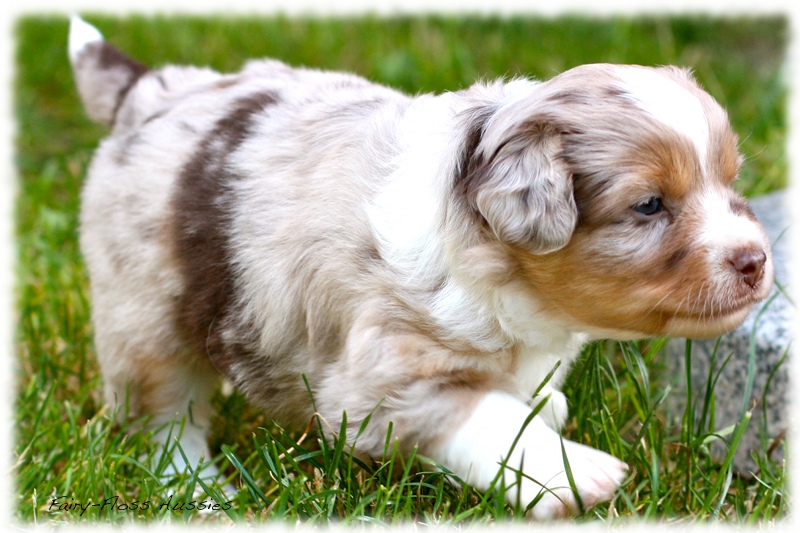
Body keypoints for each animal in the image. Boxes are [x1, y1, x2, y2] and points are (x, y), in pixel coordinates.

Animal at [70, 17, 776, 520]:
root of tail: (151, 89)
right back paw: (195, 489)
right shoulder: (376, 374)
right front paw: (569, 472)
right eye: (649, 205)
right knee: (165, 416)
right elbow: (481, 413)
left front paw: (545, 406)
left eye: (730, 180)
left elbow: (522, 393)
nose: (756, 260)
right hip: (143, 312)